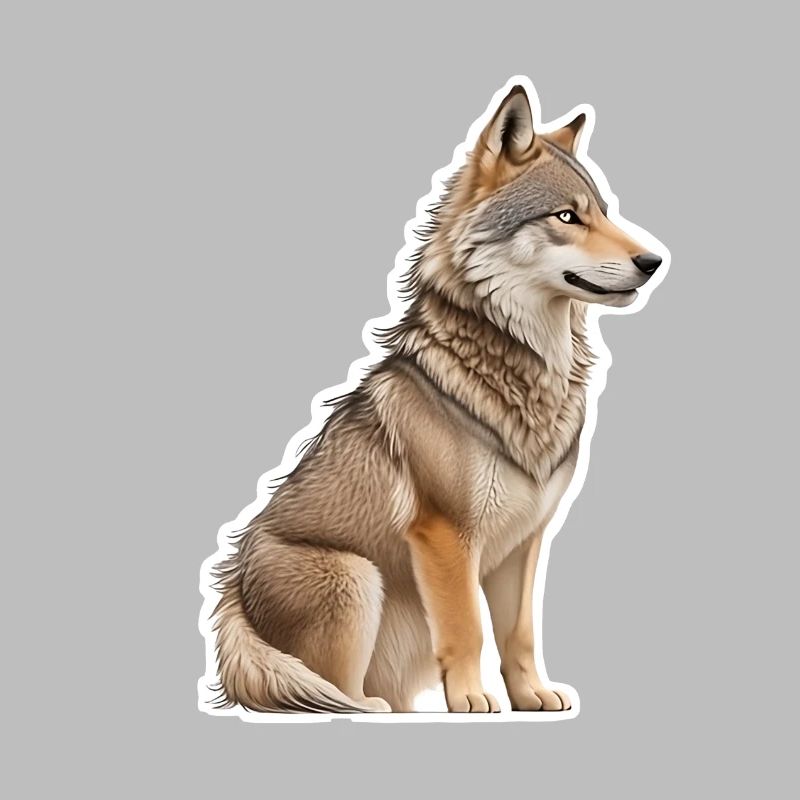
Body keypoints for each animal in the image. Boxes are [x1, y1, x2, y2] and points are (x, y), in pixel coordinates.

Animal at [204, 83, 665, 714]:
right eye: (567, 216)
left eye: (604, 212)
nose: (654, 262)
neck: (526, 372)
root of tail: (232, 595)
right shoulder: (445, 535)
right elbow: (467, 627)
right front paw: (471, 700)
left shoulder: (526, 543)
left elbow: (519, 632)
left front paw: (531, 697)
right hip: (356, 577)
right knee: (333, 689)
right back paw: (372, 711)